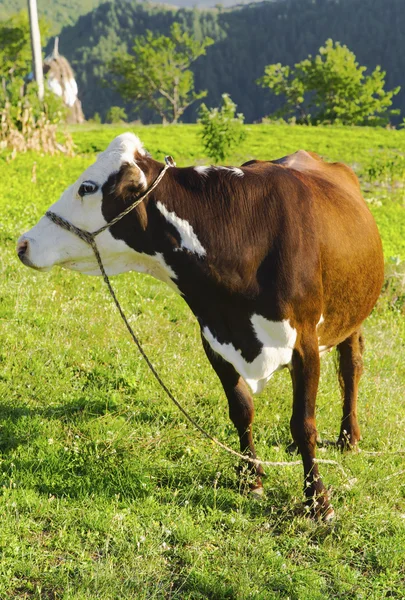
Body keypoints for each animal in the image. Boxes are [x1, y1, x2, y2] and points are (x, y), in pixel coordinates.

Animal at [17, 134, 384, 516]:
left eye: (86, 187)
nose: (24, 243)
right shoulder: (213, 338)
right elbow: (241, 410)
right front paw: (251, 479)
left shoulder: (305, 342)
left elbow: (303, 424)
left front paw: (318, 500)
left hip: (353, 315)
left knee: (351, 367)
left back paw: (348, 437)